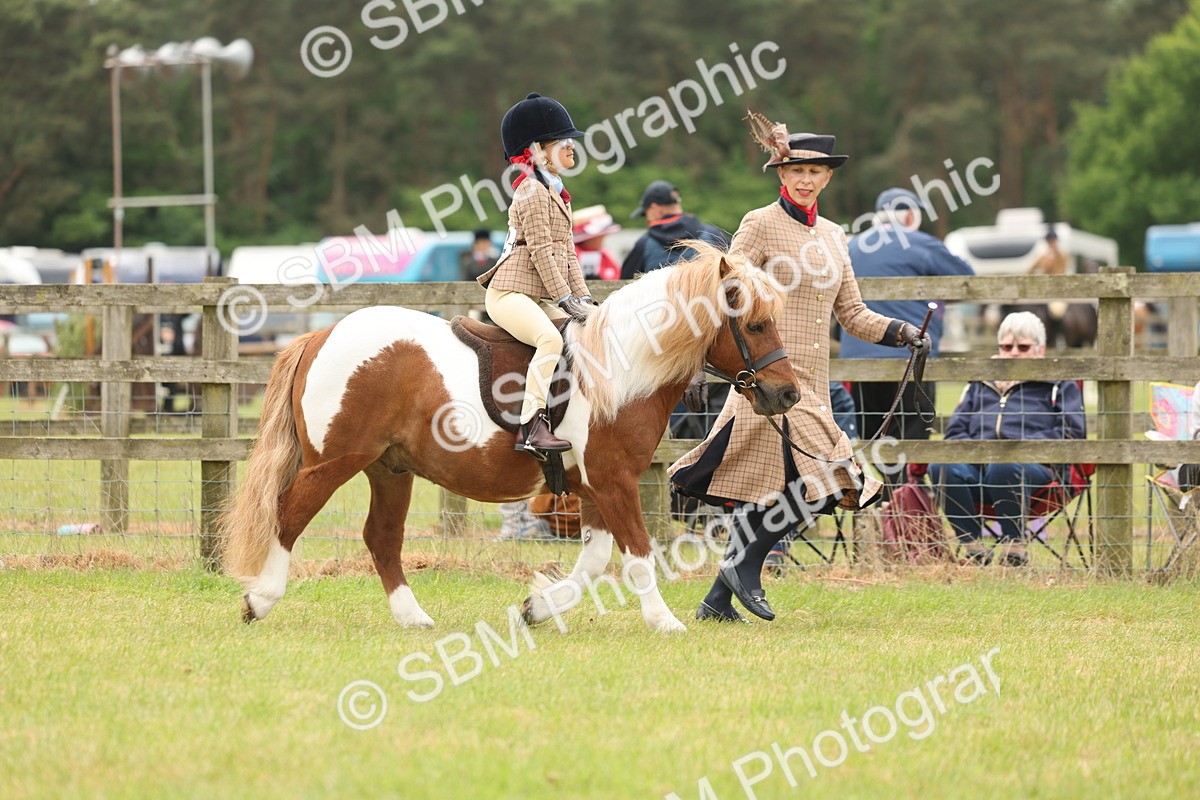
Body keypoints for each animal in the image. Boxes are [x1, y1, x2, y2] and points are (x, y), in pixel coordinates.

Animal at [219, 242, 800, 633]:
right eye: (754, 325)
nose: (788, 394)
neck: (622, 367)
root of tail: (321, 334)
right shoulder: (614, 482)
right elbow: (637, 553)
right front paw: (664, 621)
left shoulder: (593, 489)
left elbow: (593, 561)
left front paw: (537, 607)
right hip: (334, 462)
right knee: (288, 515)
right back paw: (260, 599)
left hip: (390, 469)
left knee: (381, 537)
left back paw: (413, 617)